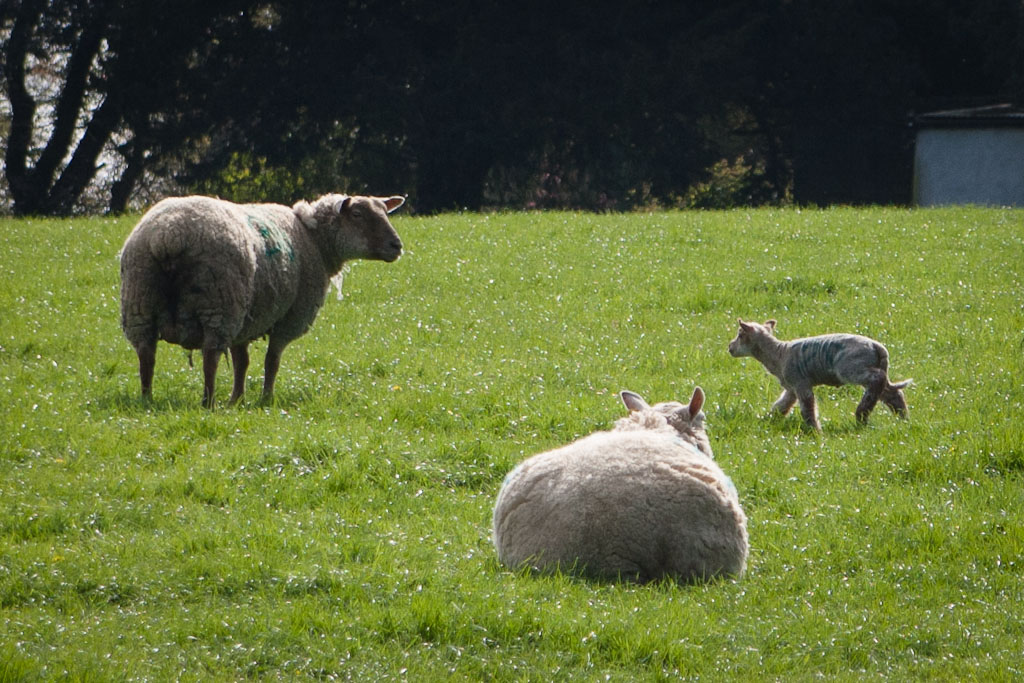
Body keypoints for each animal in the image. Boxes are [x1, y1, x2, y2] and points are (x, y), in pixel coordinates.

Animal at [119, 193, 405, 407]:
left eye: (384, 211)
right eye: (357, 214)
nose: (397, 246)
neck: (315, 241)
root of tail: (168, 235)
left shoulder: (247, 319)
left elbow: (241, 362)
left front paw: (236, 399)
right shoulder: (289, 317)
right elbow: (272, 361)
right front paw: (266, 399)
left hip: (140, 302)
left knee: (146, 355)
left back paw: (147, 398)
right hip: (220, 304)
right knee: (210, 356)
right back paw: (208, 402)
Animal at [728, 318, 911, 430]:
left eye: (740, 335)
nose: (729, 347)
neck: (778, 354)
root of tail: (877, 347)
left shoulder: (801, 383)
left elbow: (807, 408)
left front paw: (815, 431)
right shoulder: (791, 388)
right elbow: (781, 406)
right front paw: (768, 419)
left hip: (851, 368)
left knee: (877, 379)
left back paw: (861, 414)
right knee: (891, 391)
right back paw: (902, 416)